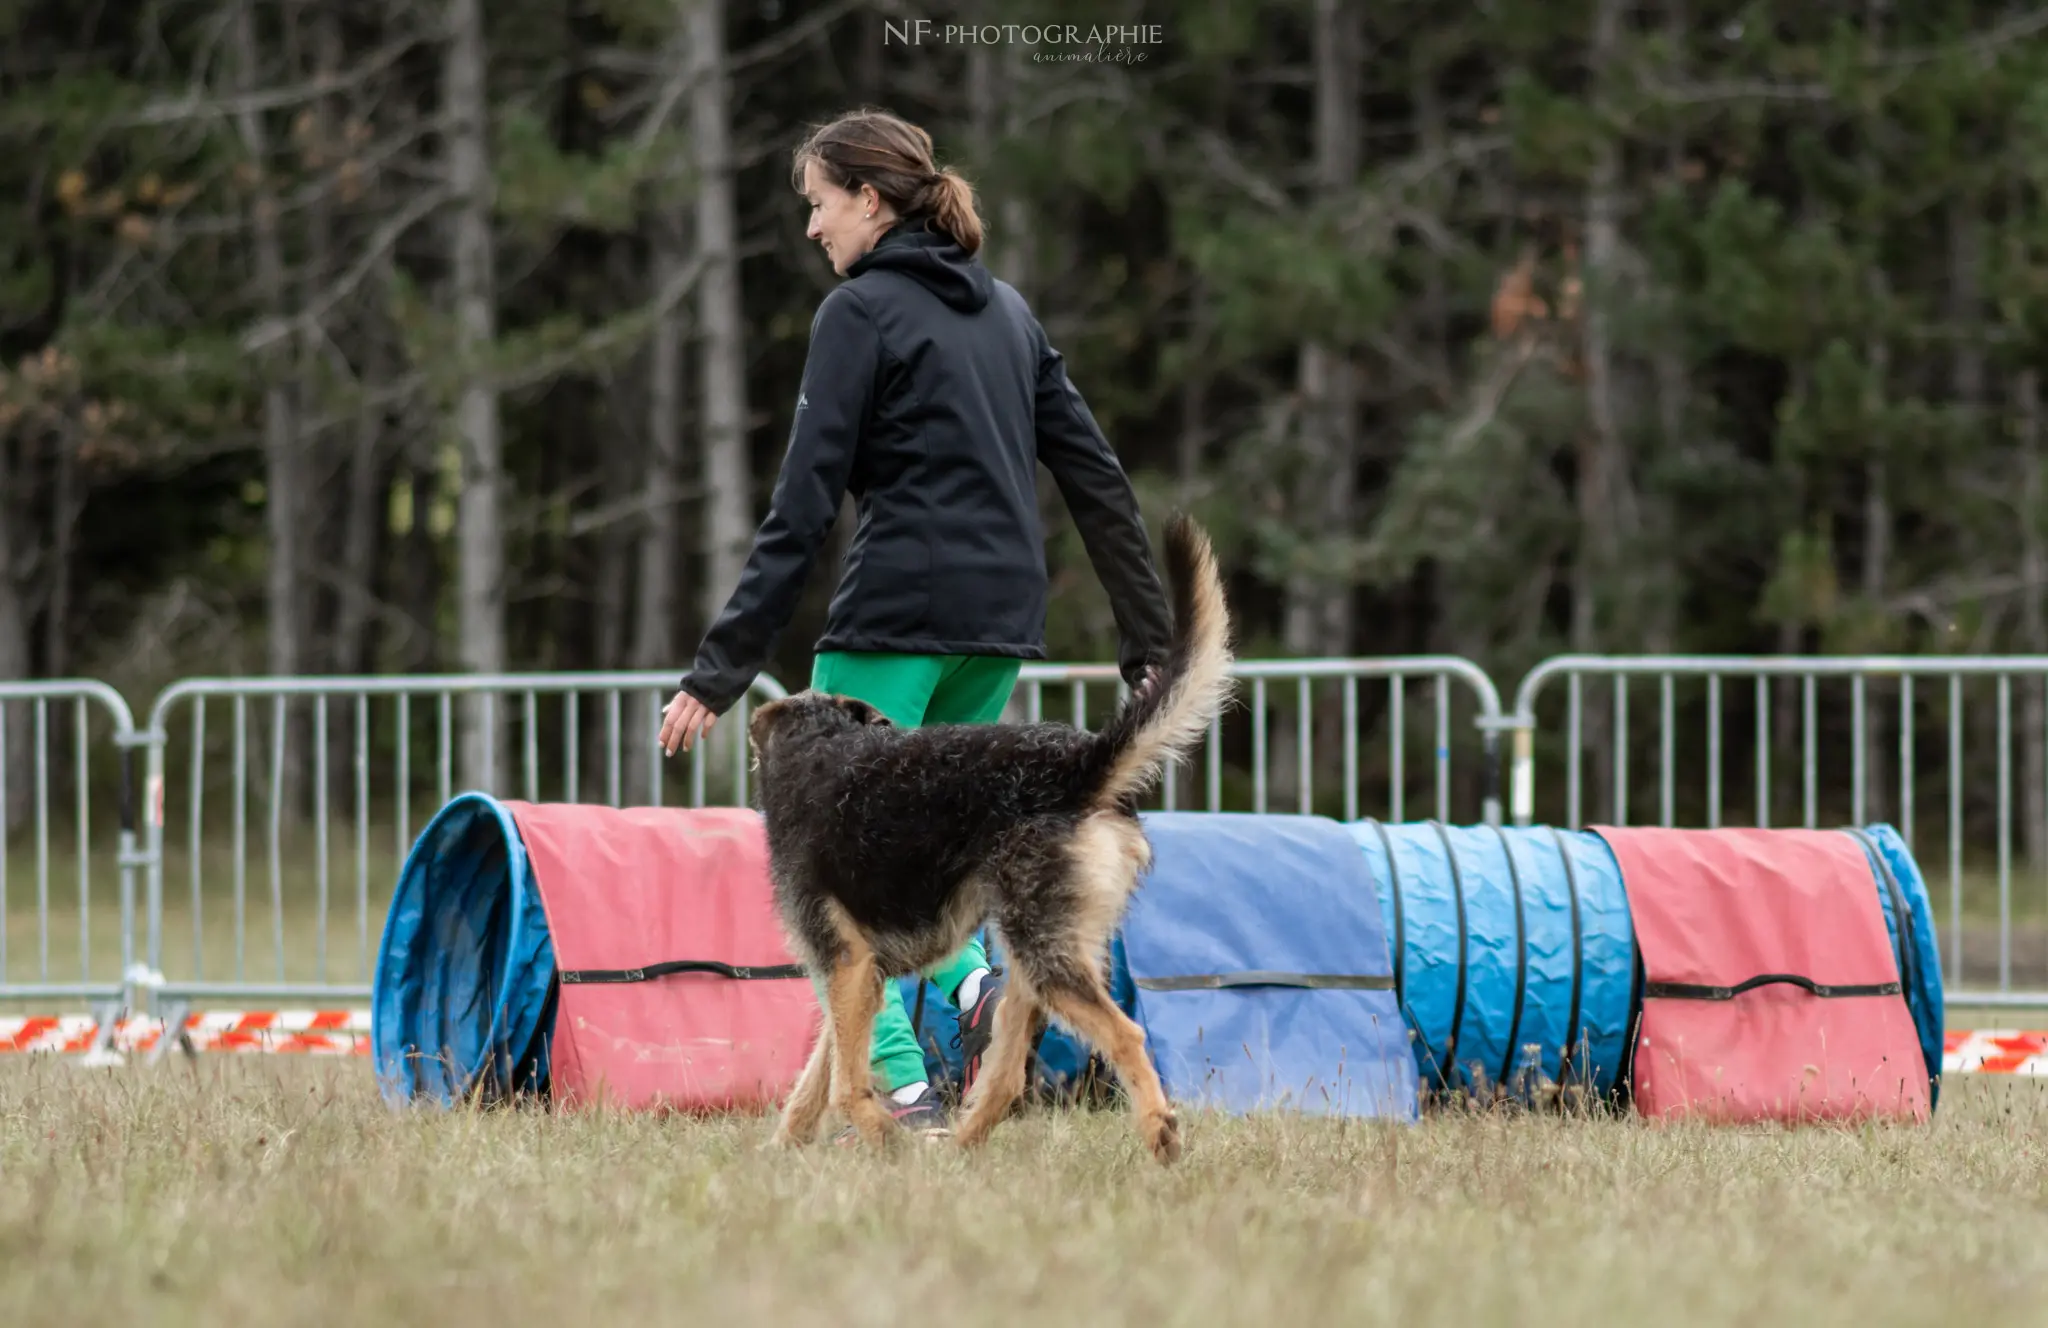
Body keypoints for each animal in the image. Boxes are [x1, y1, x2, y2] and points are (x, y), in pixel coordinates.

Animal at [749, 510, 1228, 1164]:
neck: (821, 746)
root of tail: (1082, 764)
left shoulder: (843, 962)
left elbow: (847, 1082)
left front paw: (881, 1137)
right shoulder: (857, 974)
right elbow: (820, 1073)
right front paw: (784, 1147)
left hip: (1043, 953)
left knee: (1125, 1035)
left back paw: (1159, 1133)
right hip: (1033, 952)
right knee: (1004, 1079)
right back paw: (958, 1148)